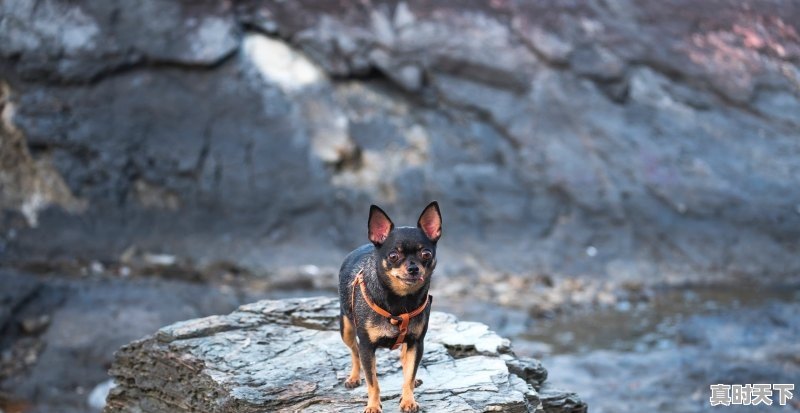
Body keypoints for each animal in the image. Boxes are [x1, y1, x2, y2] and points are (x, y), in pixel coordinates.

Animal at [334, 201, 440, 410]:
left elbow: (409, 373)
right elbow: (373, 381)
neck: (401, 299)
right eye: (393, 256)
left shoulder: (416, 342)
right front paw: (373, 406)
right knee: (354, 352)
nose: (413, 268)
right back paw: (353, 377)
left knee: (404, 359)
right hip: (347, 329)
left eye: (426, 254)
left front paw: (408, 399)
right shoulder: (367, 347)